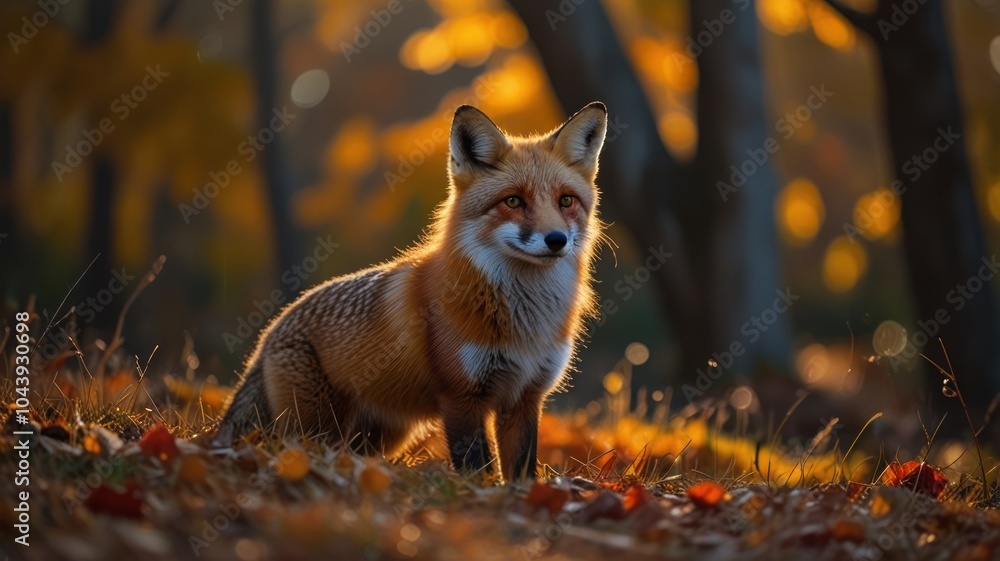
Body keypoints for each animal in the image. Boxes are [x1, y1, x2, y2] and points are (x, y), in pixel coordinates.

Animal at [216, 102, 608, 481]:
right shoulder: (461, 397)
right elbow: (477, 470)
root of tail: (268, 333)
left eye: (566, 201)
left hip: (380, 437)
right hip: (315, 430)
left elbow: (522, 474)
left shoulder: (525, 398)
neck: (525, 324)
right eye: (512, 201)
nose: (556, 240)